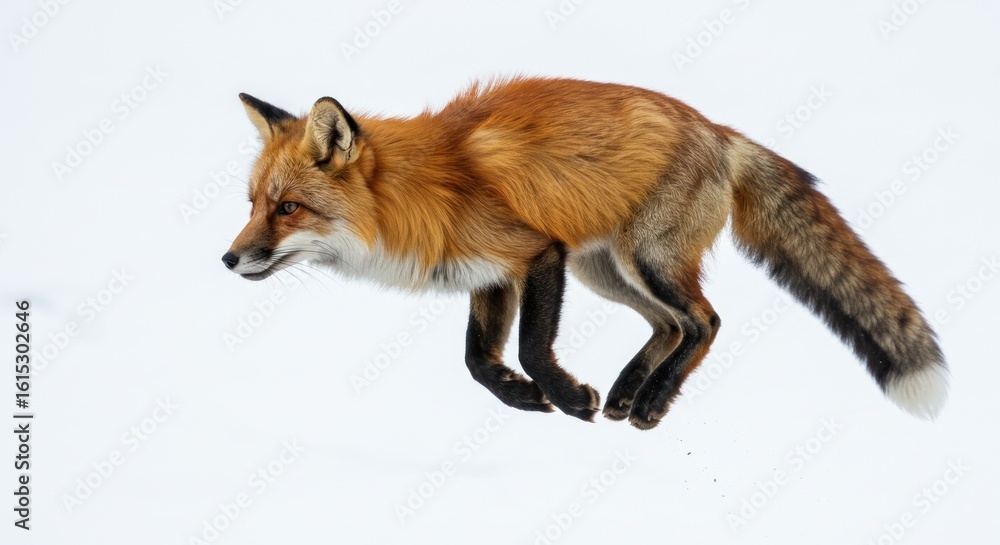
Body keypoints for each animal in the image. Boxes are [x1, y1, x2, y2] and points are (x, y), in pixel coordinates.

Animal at [222, 77, 948, 429]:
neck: (419, 193)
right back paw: (630, 391)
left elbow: (531, 347)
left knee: (705, 321)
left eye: (288, 209)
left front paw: (565, 398)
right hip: (607, 271)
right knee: (671, 325)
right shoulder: (492, 273)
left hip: (645, 260)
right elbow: (477, 360)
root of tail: (717, 131)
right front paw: (523, 398)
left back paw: (652, 401)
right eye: (252, 204)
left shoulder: (538, 251)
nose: (227, 260)